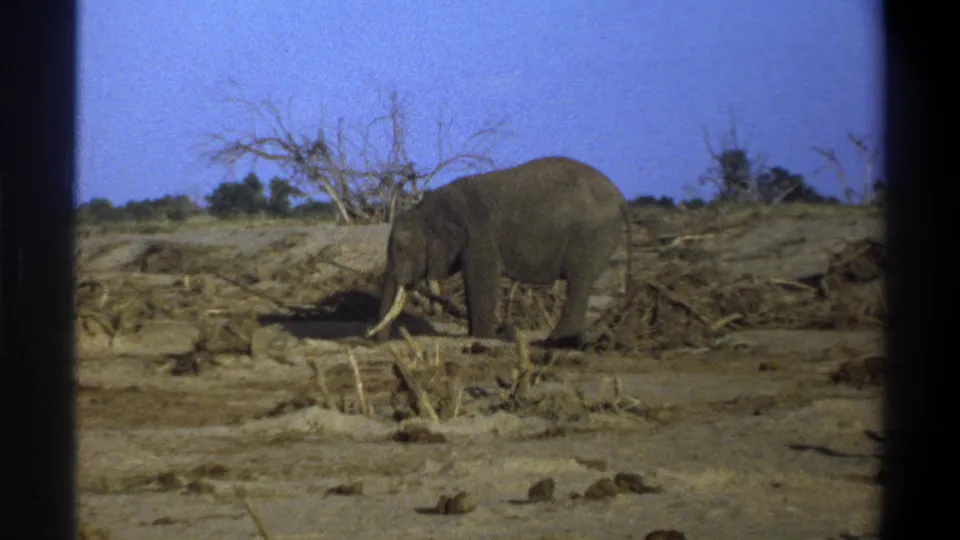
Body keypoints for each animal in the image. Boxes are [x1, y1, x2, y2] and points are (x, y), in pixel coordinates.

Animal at [367, 156, 634, 349]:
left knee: (578, 283)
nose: (374, 342)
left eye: (402, 248)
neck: (432, 206)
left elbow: (482, 279)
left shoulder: (480, 236)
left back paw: (555, 342)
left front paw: (485, 336)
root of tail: (621, 199)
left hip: (591, 234)